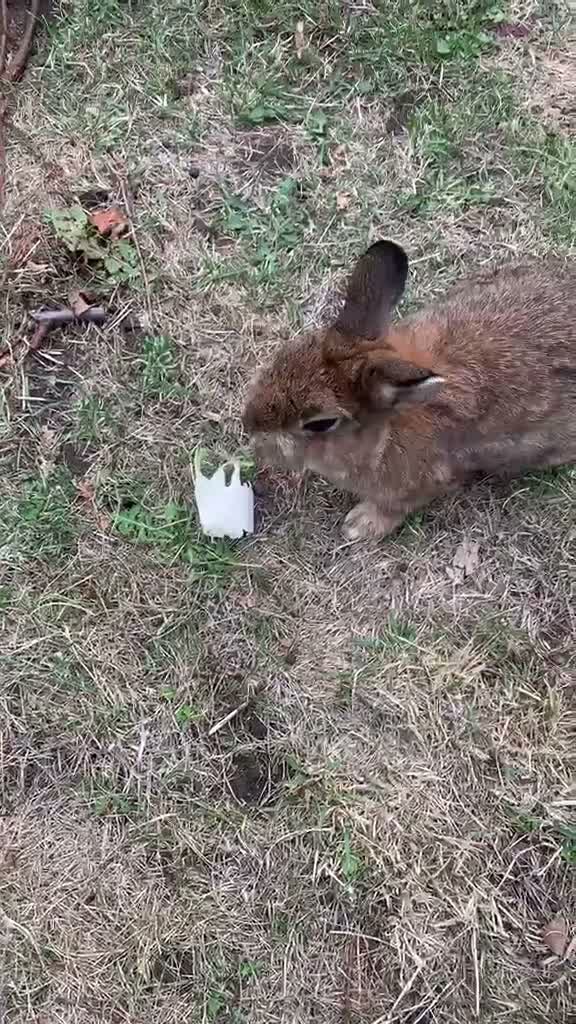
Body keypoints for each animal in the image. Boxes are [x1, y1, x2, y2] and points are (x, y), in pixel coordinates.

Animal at [242, 240, 576, 540]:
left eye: (321, 423)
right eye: (286, 355)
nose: (251, 429)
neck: (387, 428)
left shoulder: (424, 484)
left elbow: (395, 507)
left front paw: (359, 526)